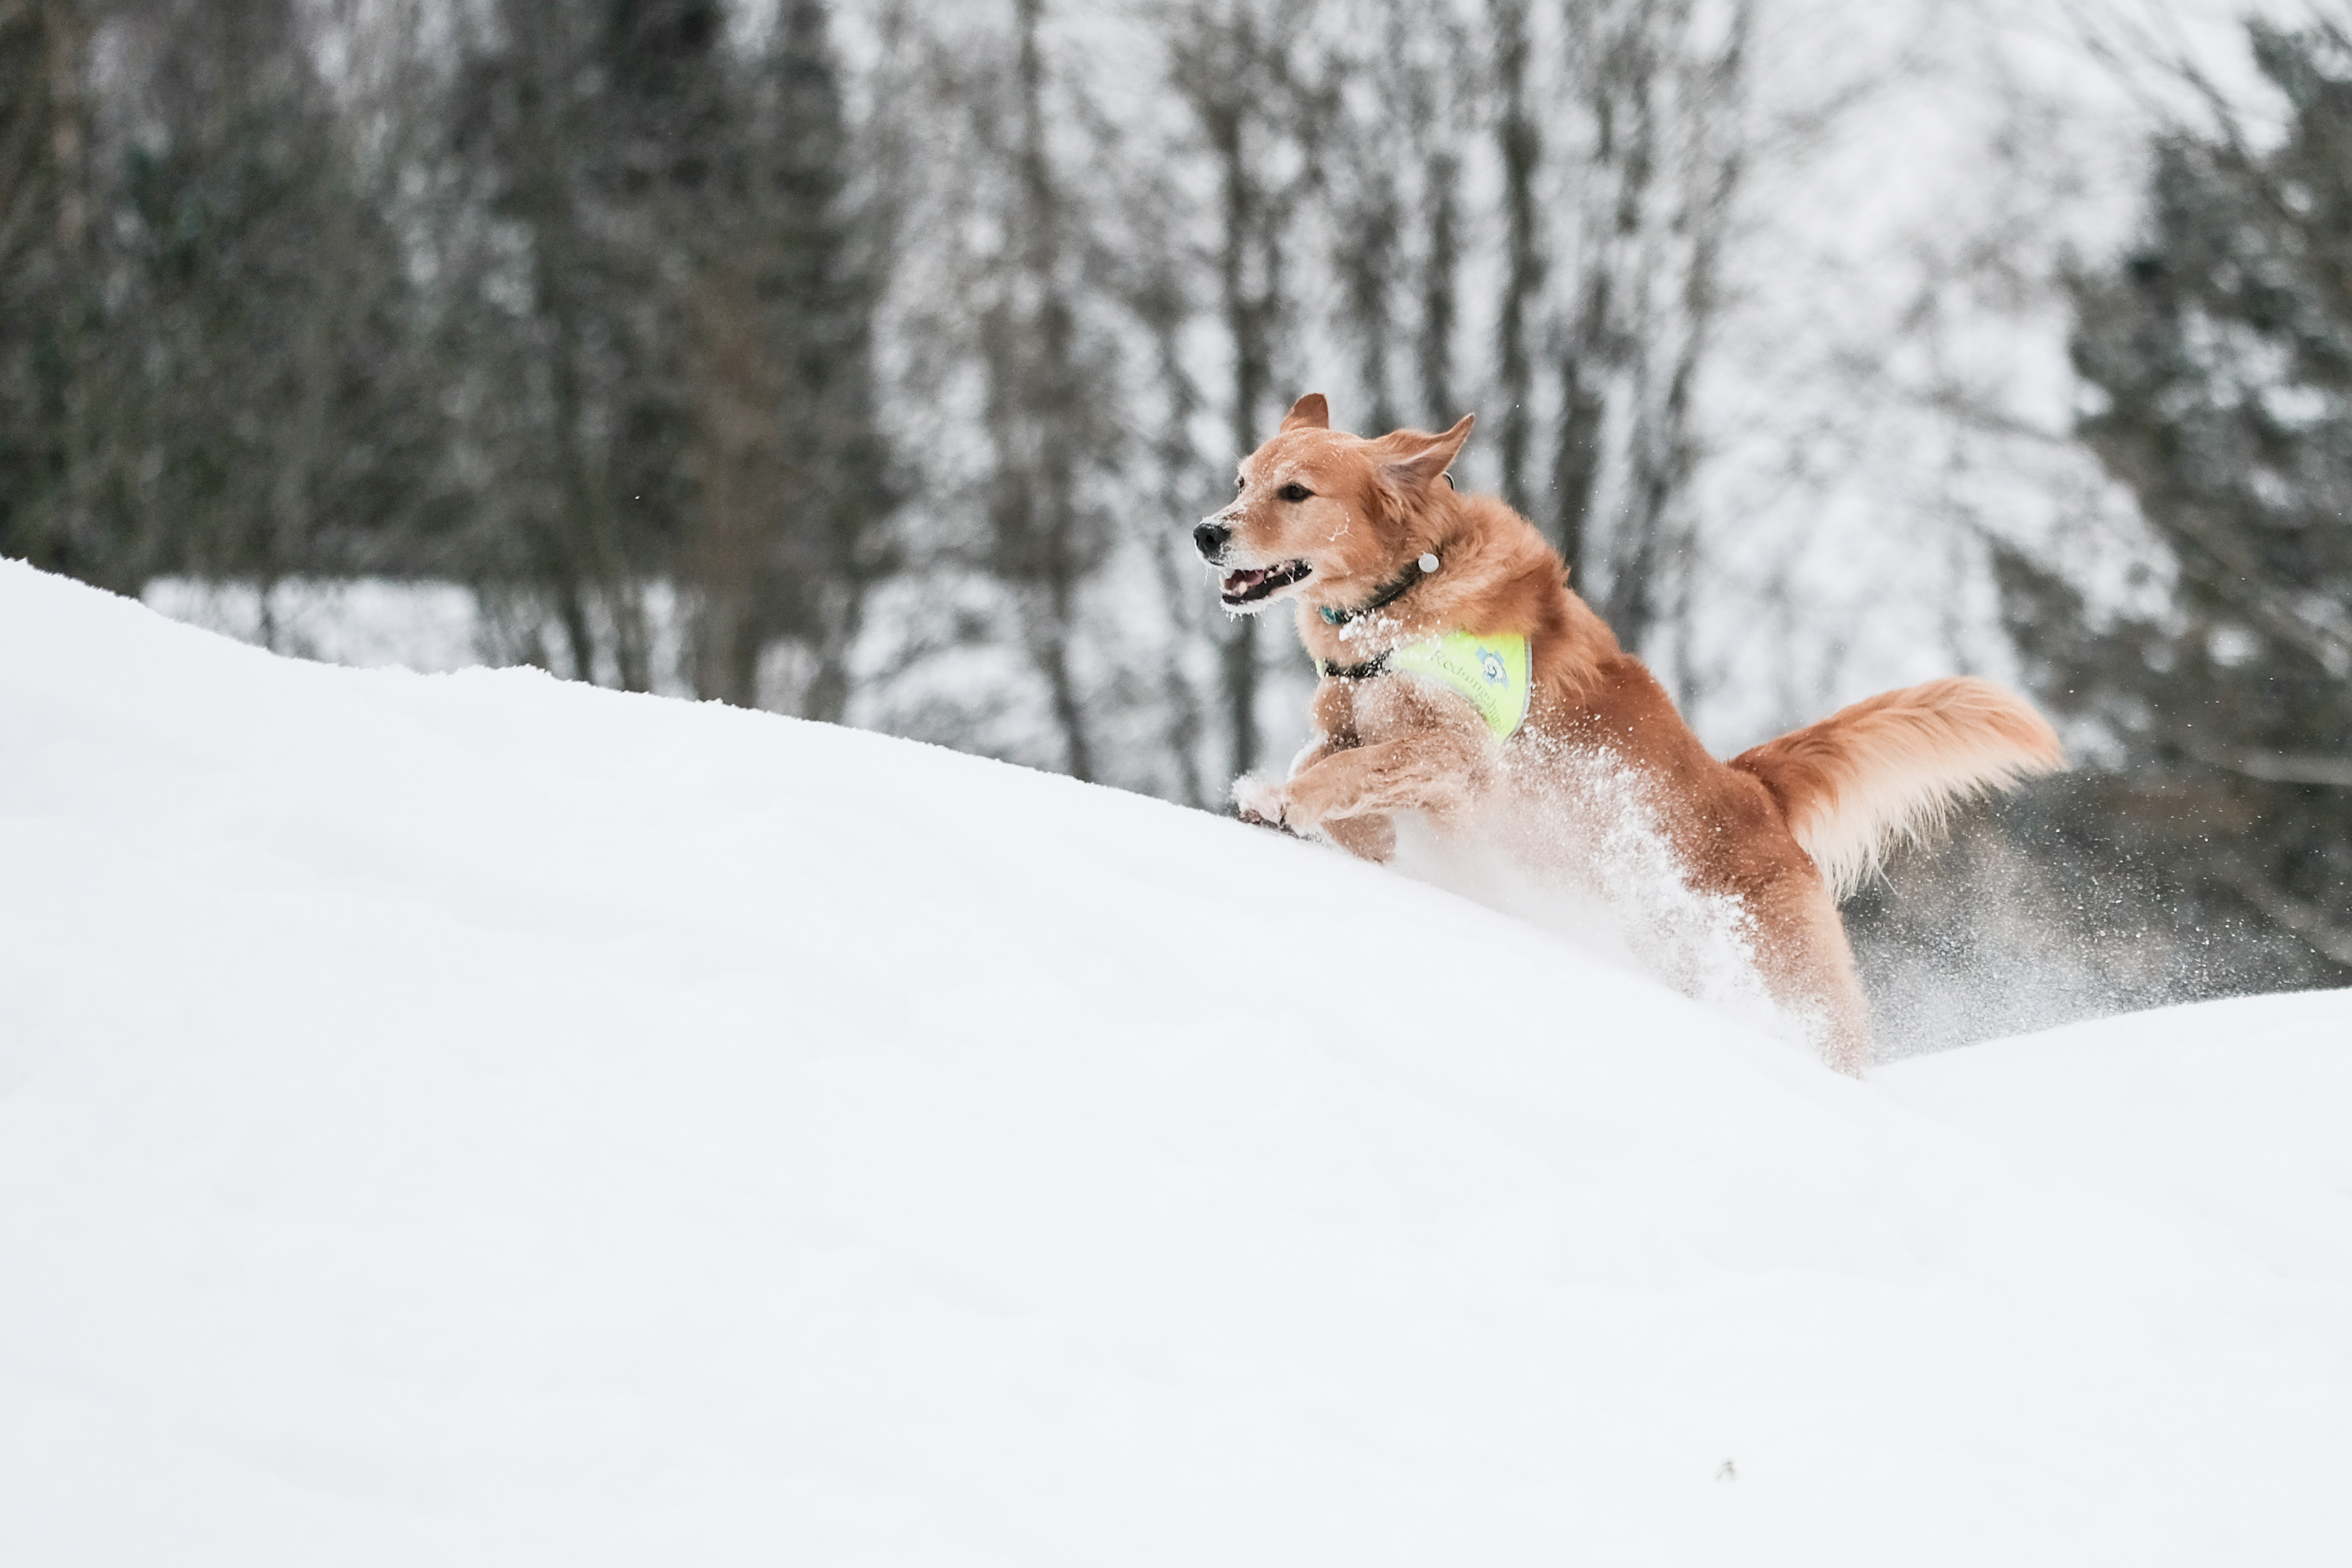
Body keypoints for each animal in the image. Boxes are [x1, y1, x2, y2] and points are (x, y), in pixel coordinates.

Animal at [1195, 395, 2060, 1081]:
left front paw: (1288, 803)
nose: (1205, 533)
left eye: (1295, 492)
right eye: (1240, 482)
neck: (1403, 591)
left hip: (1785, 979)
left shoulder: (1464, 758)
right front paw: (1332, 825)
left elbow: (1346, 774)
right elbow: (1335, 769)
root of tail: (1754, 787)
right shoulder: (1355, 728)